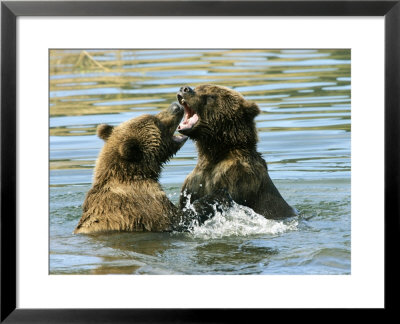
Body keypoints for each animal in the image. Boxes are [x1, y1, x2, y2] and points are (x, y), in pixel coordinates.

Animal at [177, 84, 296, 220]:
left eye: (211, 96)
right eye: (198, 88)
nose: (184, 89)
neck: (216, 153)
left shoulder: (237, 176)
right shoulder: (195, 181)